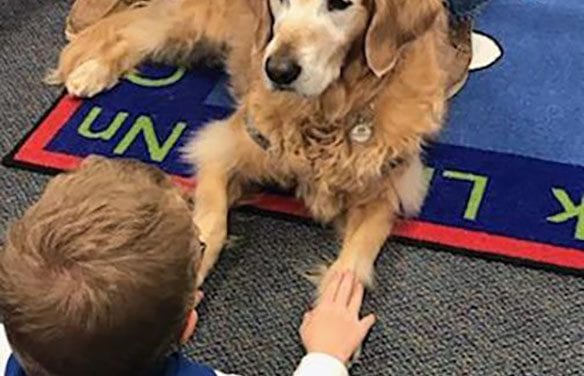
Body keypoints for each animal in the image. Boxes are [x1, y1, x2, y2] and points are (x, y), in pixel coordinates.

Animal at [51, 0, 452, 294]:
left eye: (340, 4)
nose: (278, 70)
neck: (327, 113)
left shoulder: (386, 193)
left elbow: (352, 266)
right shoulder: (222, 147)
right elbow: (212, 224)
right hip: (194, 23)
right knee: (134, 31)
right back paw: (91, 71)